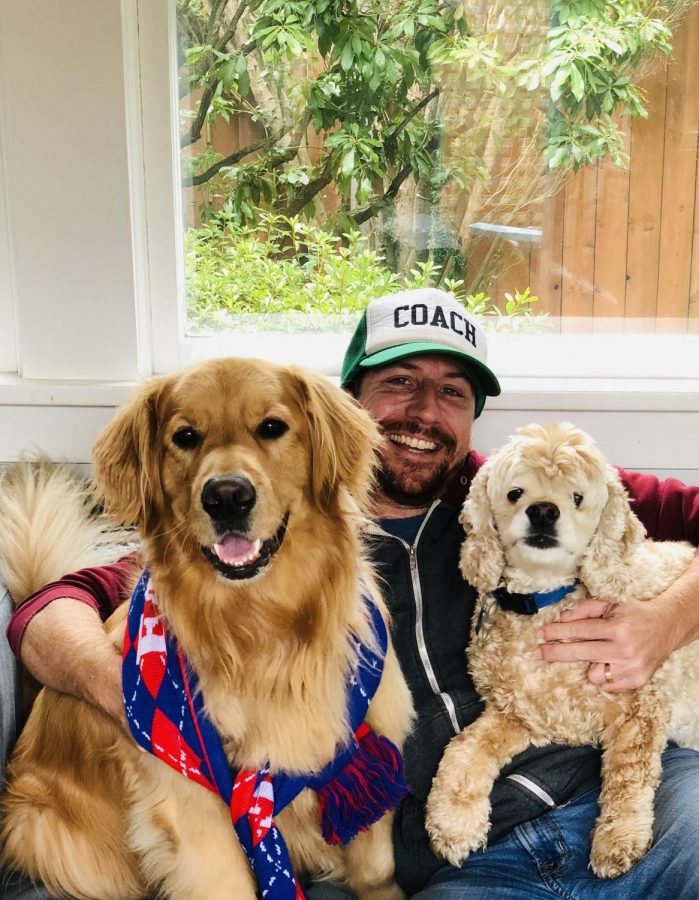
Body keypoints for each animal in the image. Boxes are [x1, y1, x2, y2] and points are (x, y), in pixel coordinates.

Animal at [424, 424, 696, 880]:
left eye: (577, 498)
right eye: (515, 493)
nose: (543, 511)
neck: (542, 600)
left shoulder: (640, 707)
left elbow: (628, 778)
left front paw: (617, 840)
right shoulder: (516, 713)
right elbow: (463, 750)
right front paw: (454, 824)